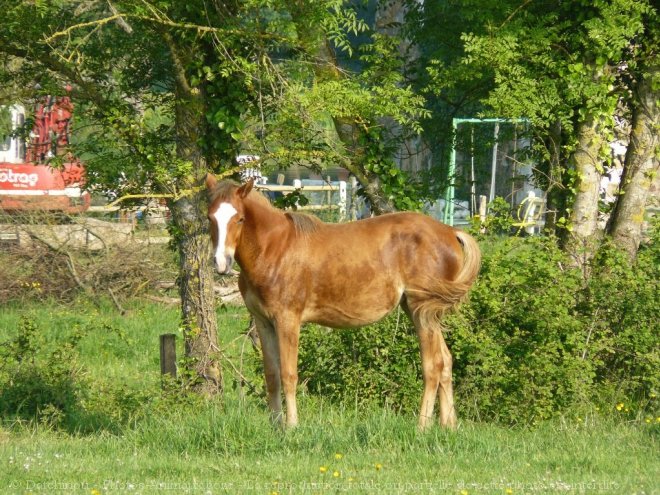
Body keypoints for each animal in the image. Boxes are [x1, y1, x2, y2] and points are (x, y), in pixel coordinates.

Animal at [206, 175, 480, 430]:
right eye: (210, 218)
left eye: (240, 219)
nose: (221, 263)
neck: (274, 249)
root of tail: (450, 232)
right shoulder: (264, 322)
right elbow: (272, 375)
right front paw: (276, 426)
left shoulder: (287, 321)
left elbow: (288, 374)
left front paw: (292, 426)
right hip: (426, 314)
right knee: (445, 361)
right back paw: (448, 425)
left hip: (421, 312)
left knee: (433, 365)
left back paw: (422, 426)